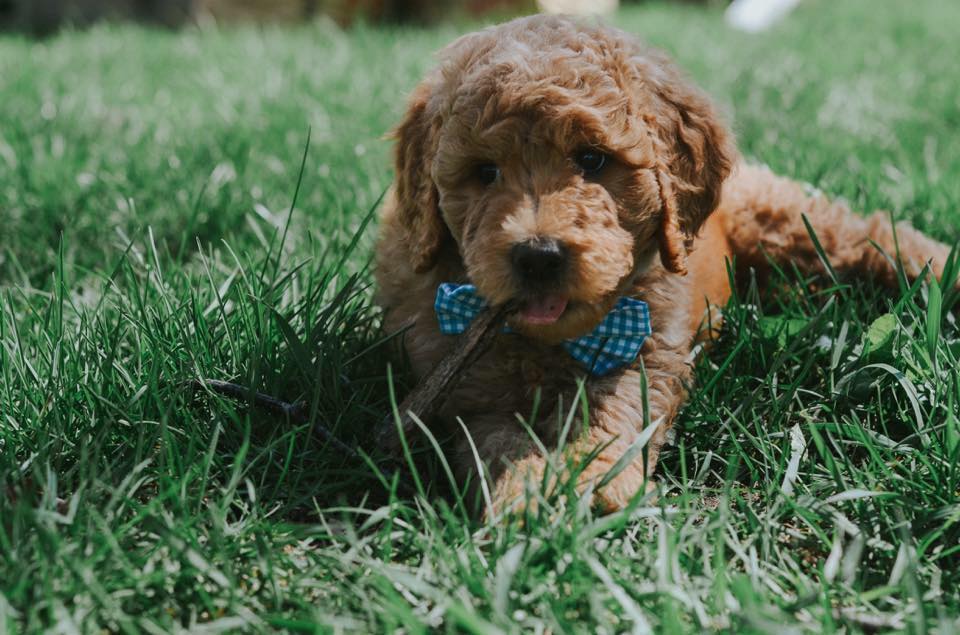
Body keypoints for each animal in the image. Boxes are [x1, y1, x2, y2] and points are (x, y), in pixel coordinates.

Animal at [374, 14, 955, 515]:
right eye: (484, 172)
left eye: (592, 159)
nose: (538, 256)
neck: (556, 342)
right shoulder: (470, 386)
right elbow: (497, 438)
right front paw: (526, 491)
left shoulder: (642, 352)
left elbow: (613, 414)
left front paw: (592, 480)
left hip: (790, 223)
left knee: (869, 235)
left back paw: (939, 267)